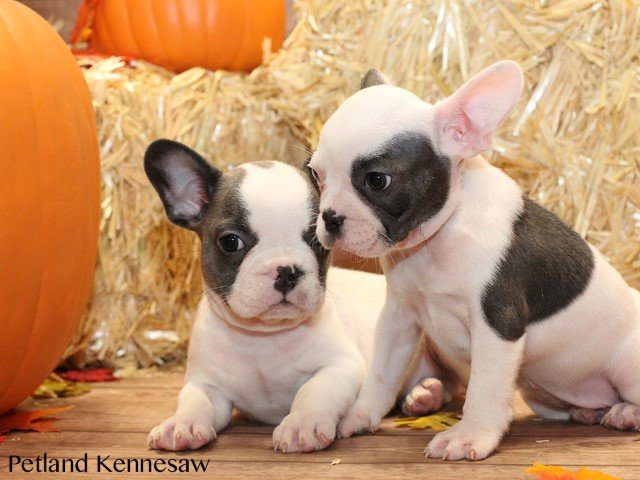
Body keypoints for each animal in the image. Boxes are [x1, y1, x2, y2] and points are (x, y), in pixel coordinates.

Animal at [142, 140, 438, 454]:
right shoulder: (206, 384)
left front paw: (302, 424)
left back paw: (424, 393)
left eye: (317, 240)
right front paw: (181, 424)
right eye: (230, 242)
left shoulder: (340, 365)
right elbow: (195, 401)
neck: (264, 338)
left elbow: (314, 391)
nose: (286, 270)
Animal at [308, 61, 640, 462]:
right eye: (315, 174)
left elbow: (485, 388)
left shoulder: (497, 324)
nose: (330, 218)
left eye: (377, 180)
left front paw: (469, 436)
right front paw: (358, 415)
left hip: (628, 364)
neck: (438, 240)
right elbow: (381, 374)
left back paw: (625, 412)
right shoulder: (398, 319)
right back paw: (591, 410)